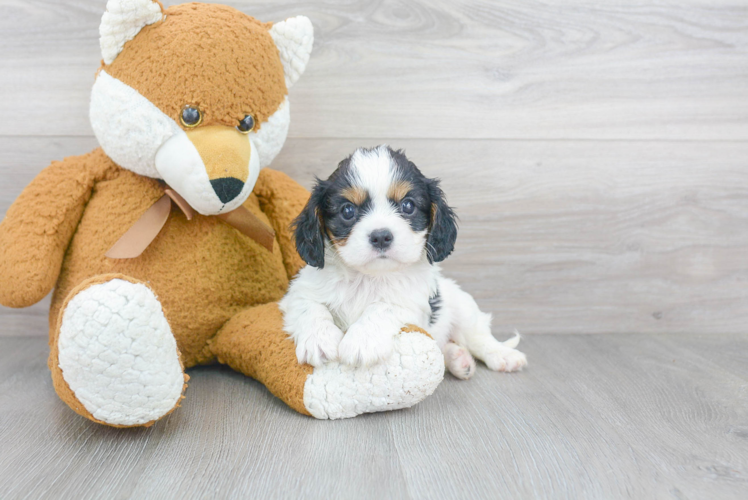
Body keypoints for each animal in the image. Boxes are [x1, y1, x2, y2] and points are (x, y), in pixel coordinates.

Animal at [278, 145, 528, 378]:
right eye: (347, 210)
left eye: (408, 206)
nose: (381, 236)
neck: (368, 278)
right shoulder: (297, 292)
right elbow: (310, 307)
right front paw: (319, 339)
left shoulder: (413, 303)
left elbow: (383, 306)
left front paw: (362, 340)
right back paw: (458, 359)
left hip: (463, 308)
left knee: (478, 337)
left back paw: (502, 355)